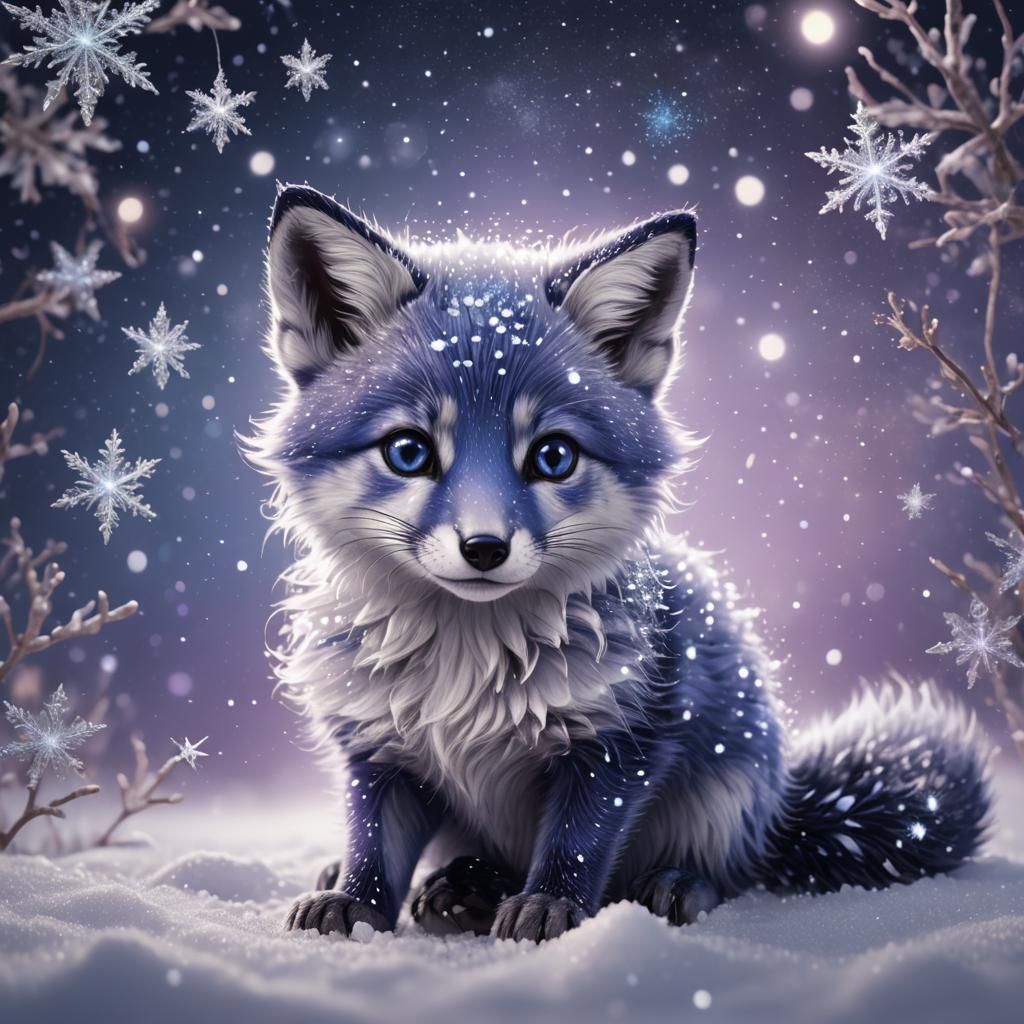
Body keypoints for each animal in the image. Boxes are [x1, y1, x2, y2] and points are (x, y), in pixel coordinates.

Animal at [247, 183, 991, 944]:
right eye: (408, 451)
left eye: (553, 456)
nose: (484, 549)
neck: (467, 669)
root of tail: (784, 806)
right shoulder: (376, 745)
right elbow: (372, 843)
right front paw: (355, 903)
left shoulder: (623, 737)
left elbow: (578, 843)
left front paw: (551, 907)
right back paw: (458, 886)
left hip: (726, 789)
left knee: (729, 871)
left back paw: (664, 886)